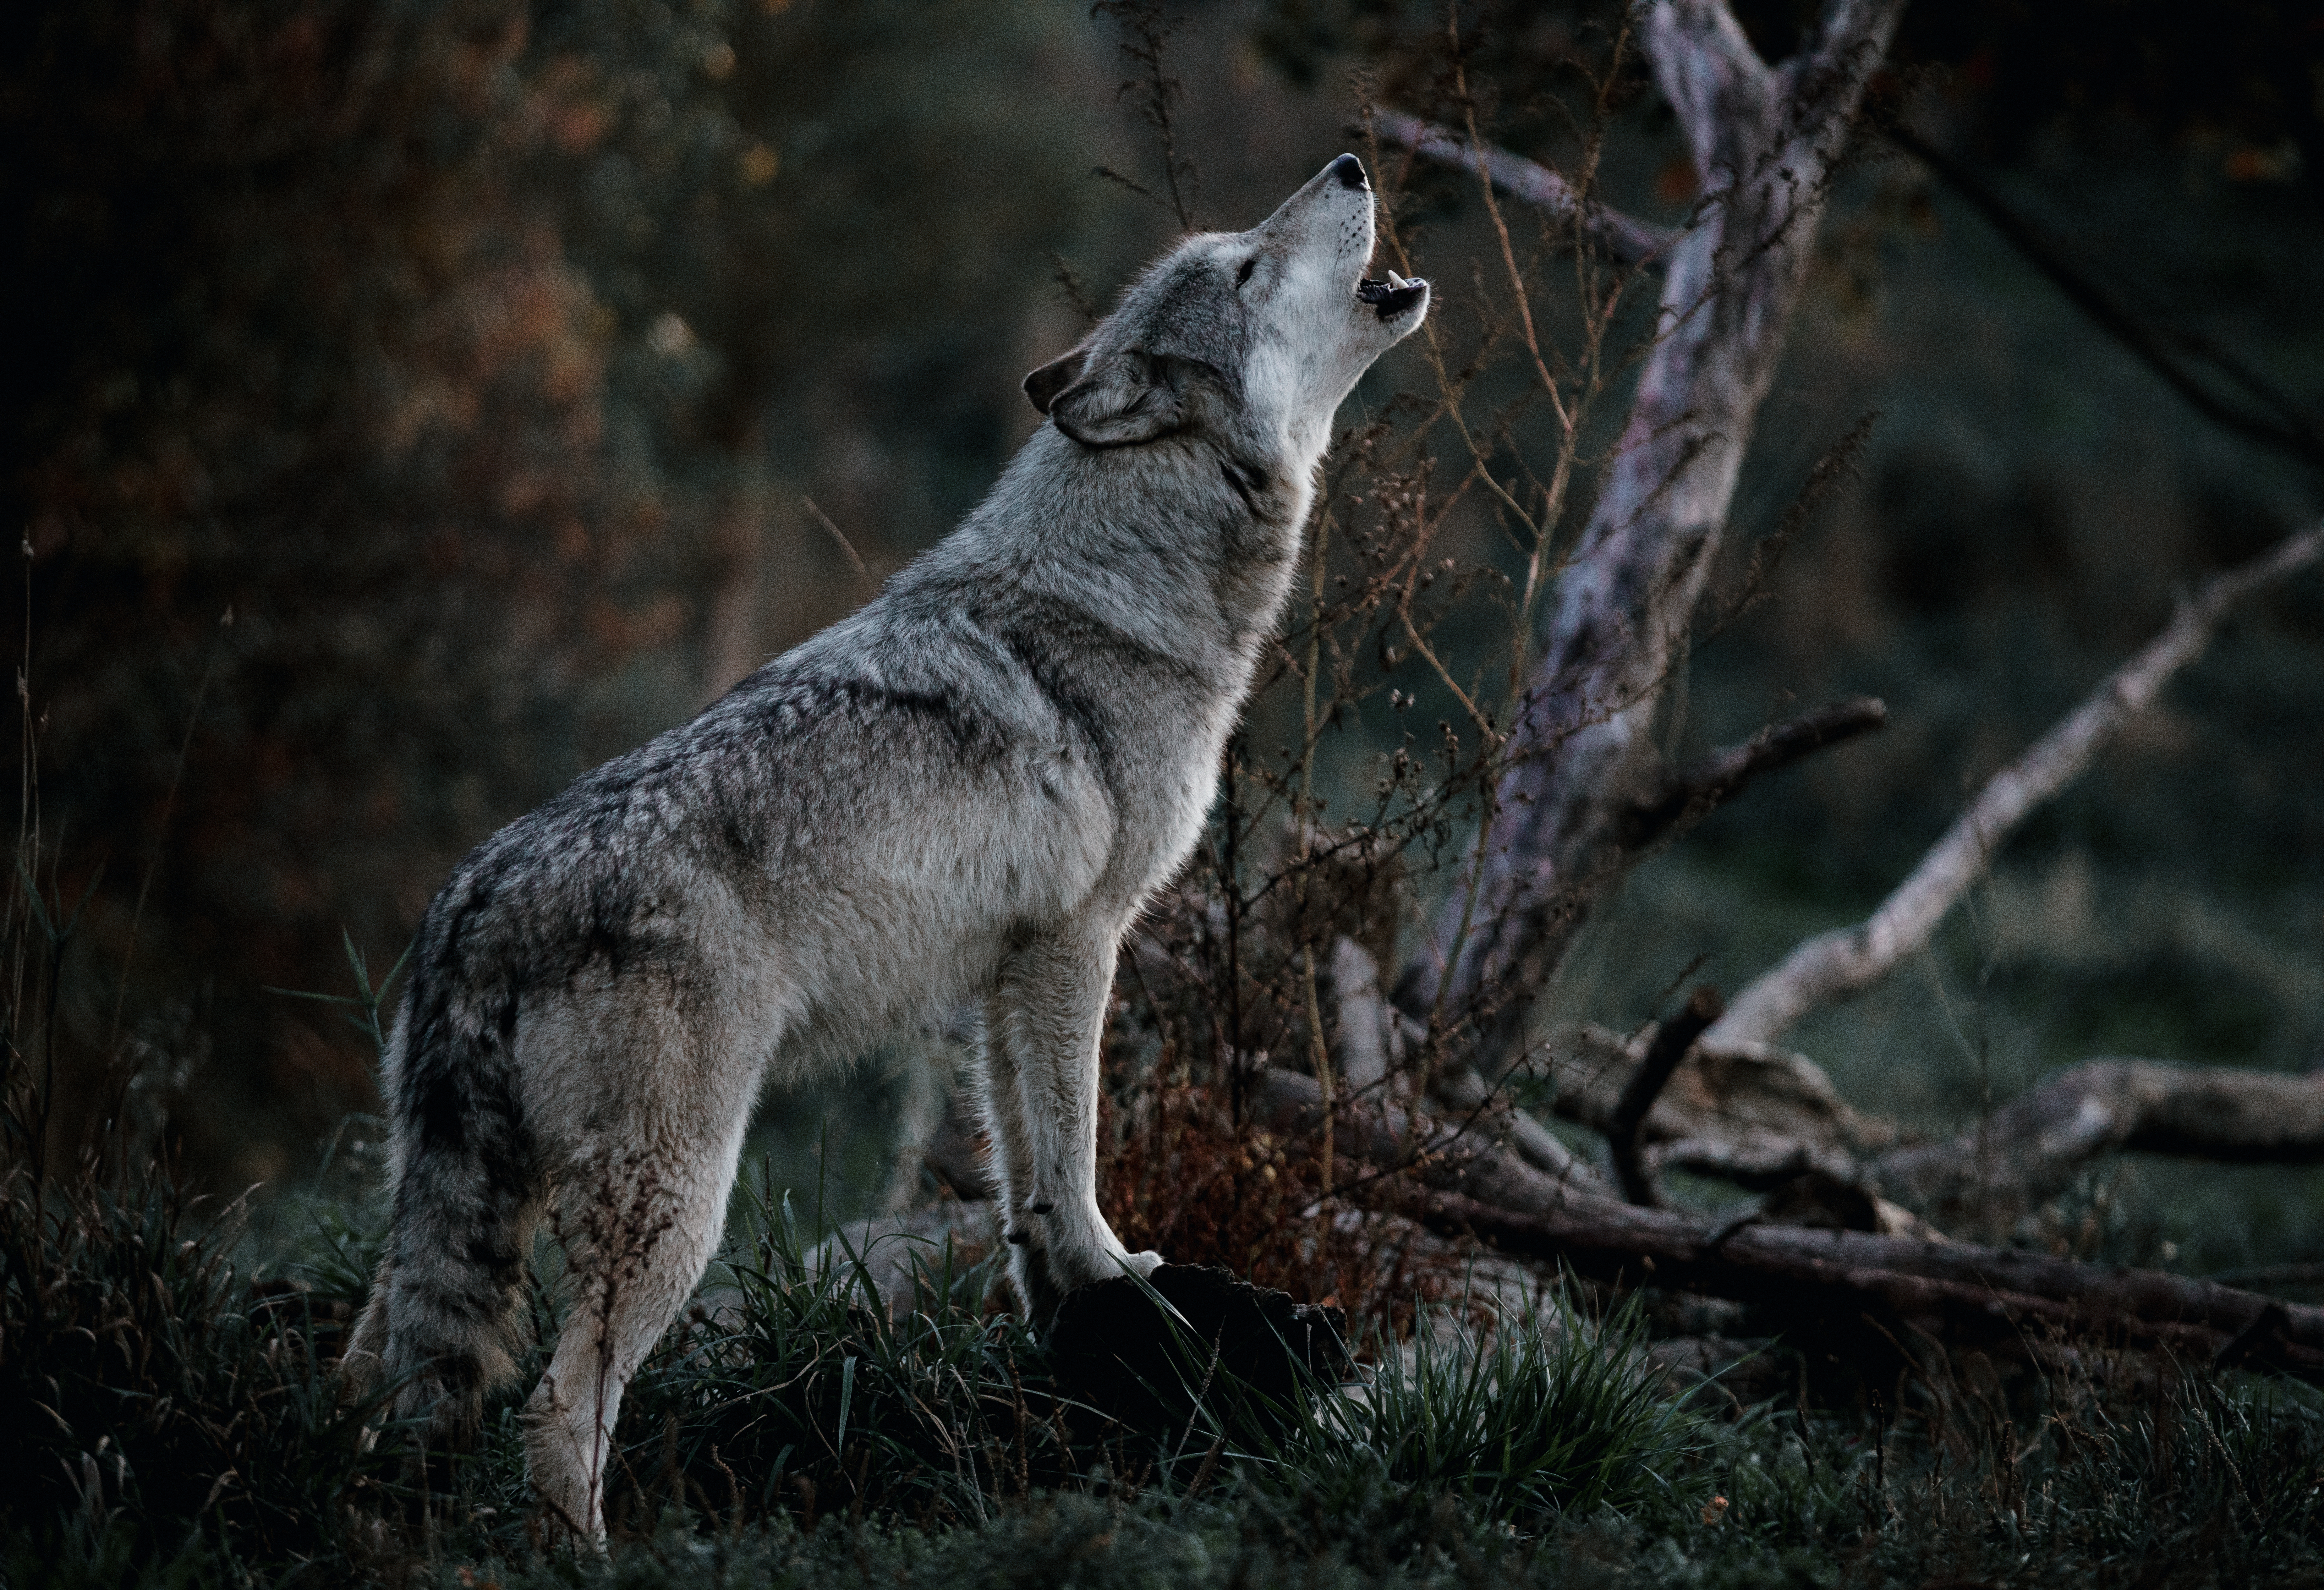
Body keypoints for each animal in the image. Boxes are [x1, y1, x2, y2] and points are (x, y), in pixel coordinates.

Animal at [344, 152, 1422, 1544]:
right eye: (1245, 265)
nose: (1349, 163)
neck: (1125, 588)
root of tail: (472, 909)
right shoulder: (1080, 942)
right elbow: (1075, 1144)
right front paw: (1118, 1270)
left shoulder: (1004, 974)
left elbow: (1024, 1171)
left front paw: (1072, 1292)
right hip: (676, 1206)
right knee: (558, 1407)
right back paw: (591, 1555)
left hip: (448, 1215)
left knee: (374, 1374)